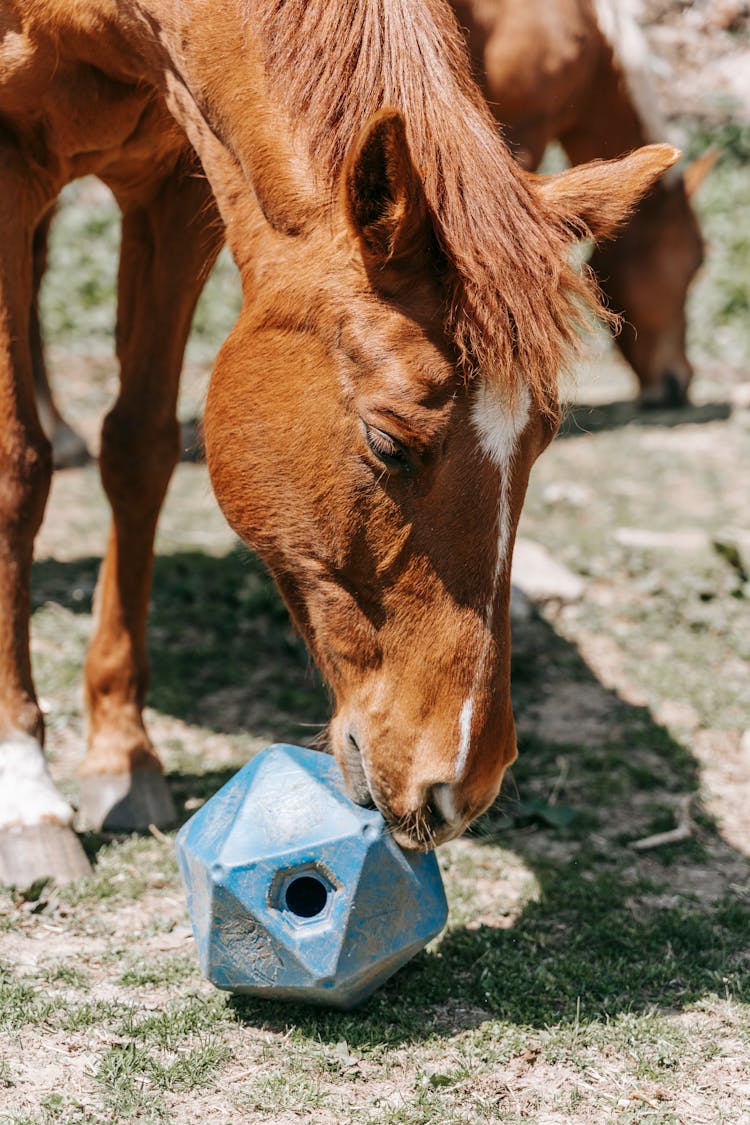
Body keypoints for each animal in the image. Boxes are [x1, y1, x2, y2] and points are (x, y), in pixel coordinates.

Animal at [0, 0, 679, 886]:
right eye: (387, 442)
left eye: (544, 438)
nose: (465, 780)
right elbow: (18, 470)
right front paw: (25, 790)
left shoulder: (177, 180)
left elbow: (139, 450)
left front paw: (122, 750)